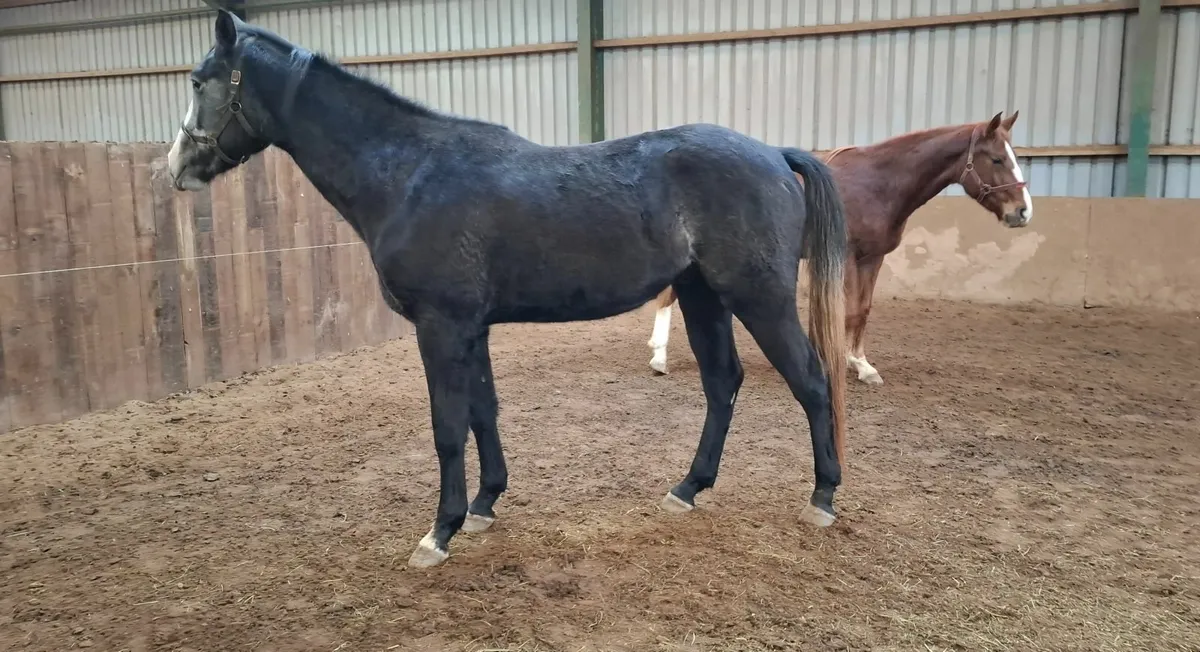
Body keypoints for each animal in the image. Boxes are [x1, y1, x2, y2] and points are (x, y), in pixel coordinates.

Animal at [167, 11, 851, 568]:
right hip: (703, 297)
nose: (175, 168)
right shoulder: (472, 328)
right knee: (722, 384)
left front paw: (438, 533)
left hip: (758, 297)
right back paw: (687, 488)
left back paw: (822, 497)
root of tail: (773, 154)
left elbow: (447, 426)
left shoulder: (441, 326)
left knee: (812, 383)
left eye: (201, 81)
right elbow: (483, 412)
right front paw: (484, 504)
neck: (410, 175)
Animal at [645, 115, 1032, 385]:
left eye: (1013, 156)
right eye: (996, 159)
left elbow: (863, 310)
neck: (877, 182)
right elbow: (848, 310)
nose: (1023, 211)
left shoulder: (873, 258)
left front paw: (861, 364)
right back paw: (659, 358)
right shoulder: (845, 258)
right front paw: (842, 361)